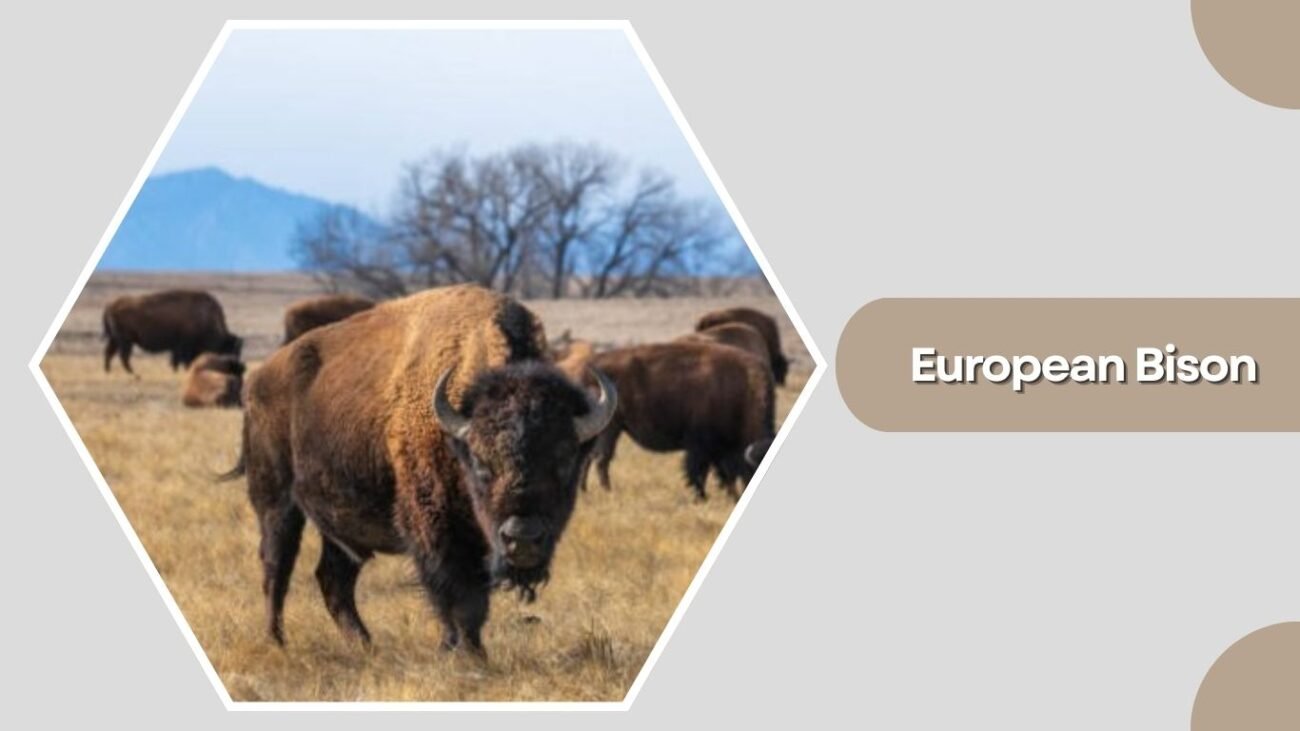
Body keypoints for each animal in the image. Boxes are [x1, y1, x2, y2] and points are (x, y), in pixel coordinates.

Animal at [102, 289, 242, 374]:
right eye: (234, 350)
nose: (236, 368)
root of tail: (111, 305)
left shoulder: (177, 347)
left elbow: (176, 360)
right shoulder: (184, 346)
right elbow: (183, 360)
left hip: (115, 339)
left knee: (109, 353)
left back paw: (109, 372)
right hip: (125, 341)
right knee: (123, 356)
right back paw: (135, 374)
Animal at [221, 284, 616, 656]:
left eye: (565, 460)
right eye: (481, 463)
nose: (522, 537)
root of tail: (258, 380)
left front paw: (467, 650)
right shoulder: (435, 526)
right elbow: (458, 596)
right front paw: (465, 653)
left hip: (340, 523)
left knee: (333, 578)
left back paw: (365, 645)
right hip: (277, 503)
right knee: (276, 568)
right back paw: (277, 641)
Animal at [586, 340, 774, 501]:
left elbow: (719, 472)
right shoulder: (701, 445)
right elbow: (699, 471)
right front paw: (701, 498)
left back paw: (585, 492)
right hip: (610, 428)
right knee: (602, 460)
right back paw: (608, 492)